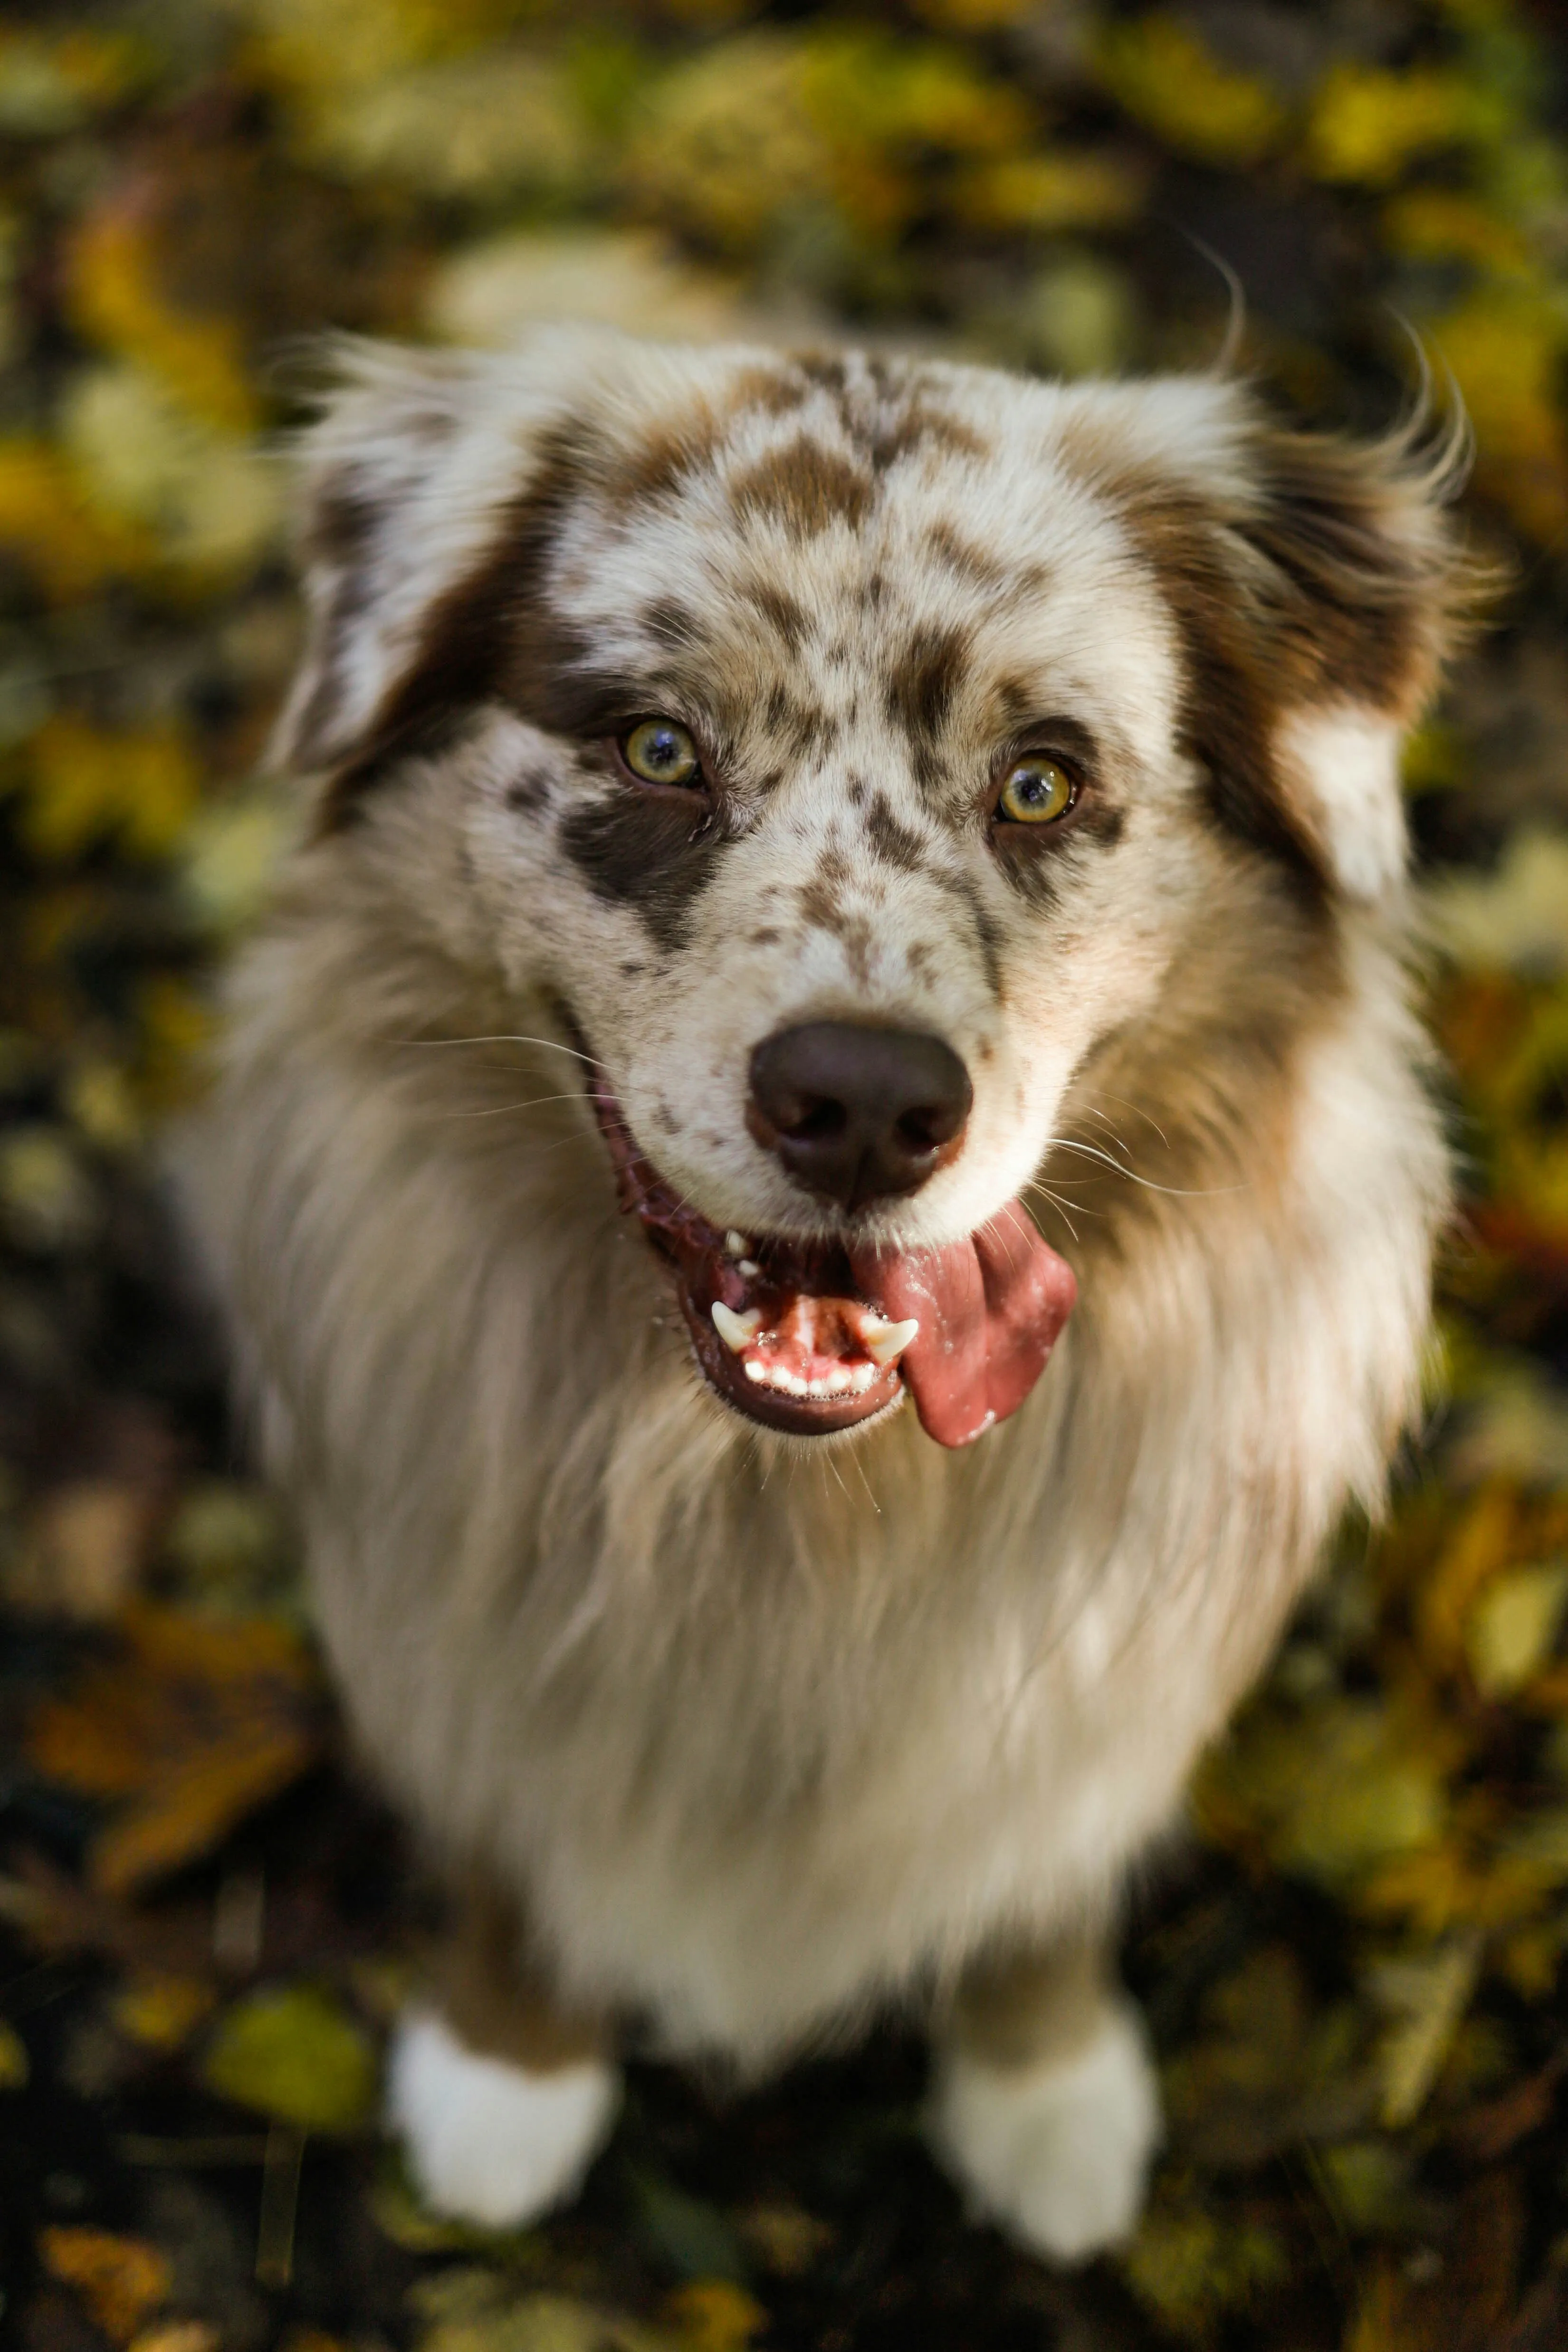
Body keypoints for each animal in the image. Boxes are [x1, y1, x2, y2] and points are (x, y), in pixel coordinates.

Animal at [187, 331, 1476, 2258]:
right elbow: (509, 1821)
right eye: (656, 748)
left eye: (1040, 782)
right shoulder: (458, 1592)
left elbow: (1045, 1860)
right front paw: (509, 2068)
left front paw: (1041, 2083)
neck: (783, 1514)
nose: (864, 1103)